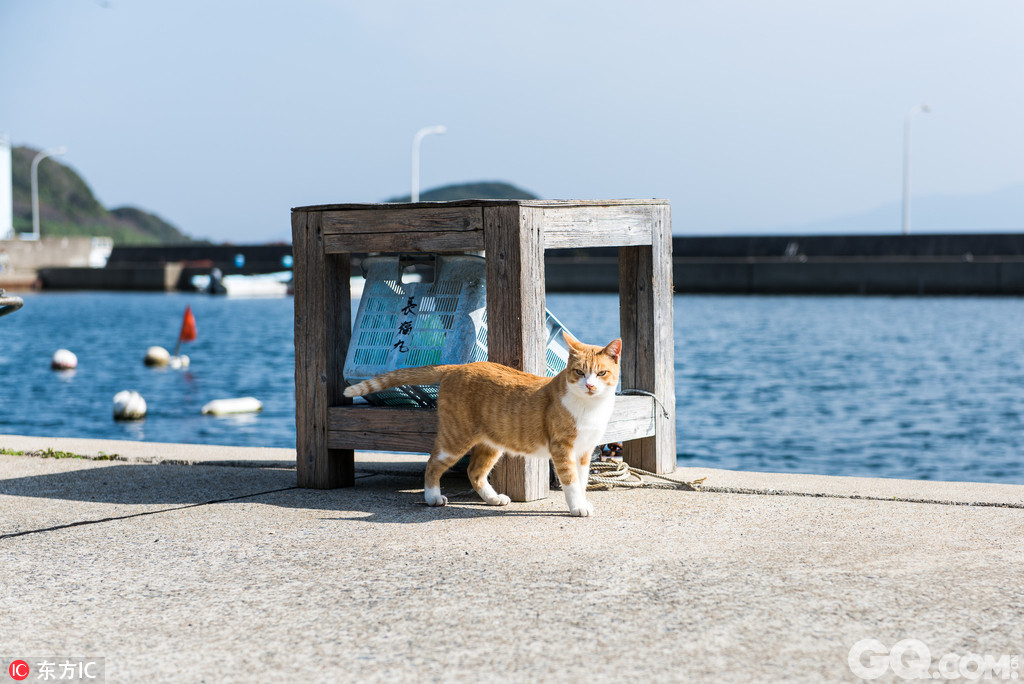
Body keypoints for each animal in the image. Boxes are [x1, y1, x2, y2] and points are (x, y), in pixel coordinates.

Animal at [344, 331, 618, 518]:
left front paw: (582, 502)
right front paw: (577, 507)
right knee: (433, 464)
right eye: (579, 372)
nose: (590, 385)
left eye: (601, 373)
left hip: (491, 444)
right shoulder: (562, 449)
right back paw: (433, 497)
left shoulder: (583, 452)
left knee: (474, 472)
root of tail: (457, 367)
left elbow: (581, 480)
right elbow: (571, 482)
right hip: (454, 439)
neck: (589, 407)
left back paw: (493, 498)